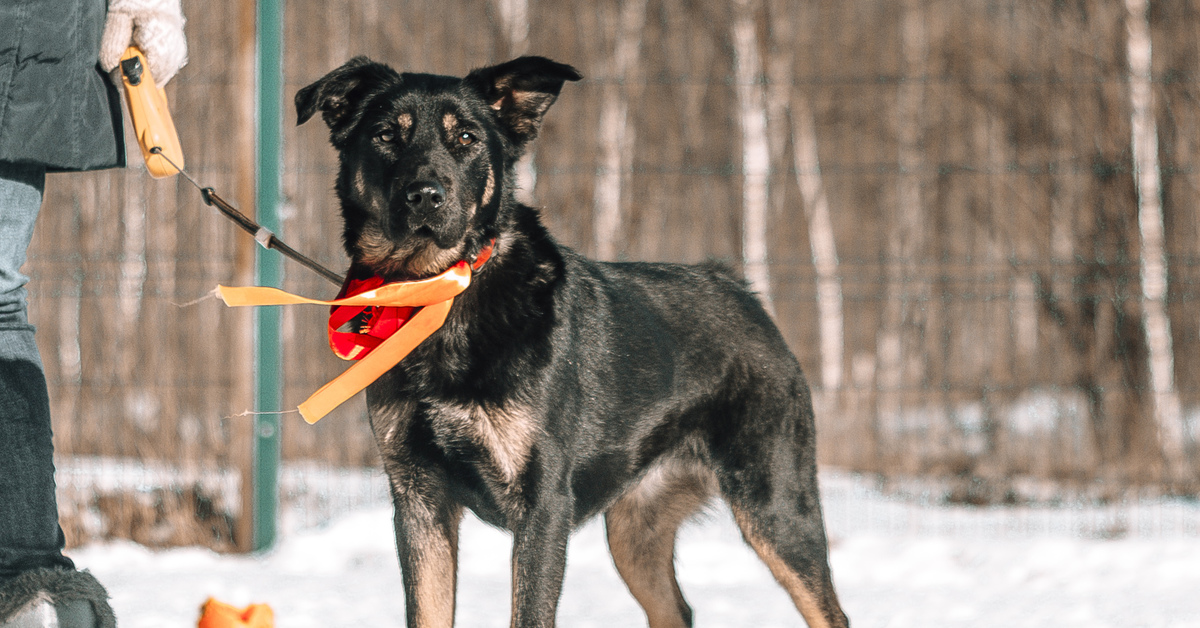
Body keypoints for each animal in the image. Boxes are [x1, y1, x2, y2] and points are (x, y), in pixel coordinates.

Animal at [295, 55, 849, 628]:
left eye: (466, 137)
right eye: (385, 135)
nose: (426, 195)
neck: (439, 293)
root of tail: (742, 292)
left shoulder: (542, 505)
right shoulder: (418, 497)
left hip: (776, 505)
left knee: (829, 610)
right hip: (634, 531)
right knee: (677, 609)